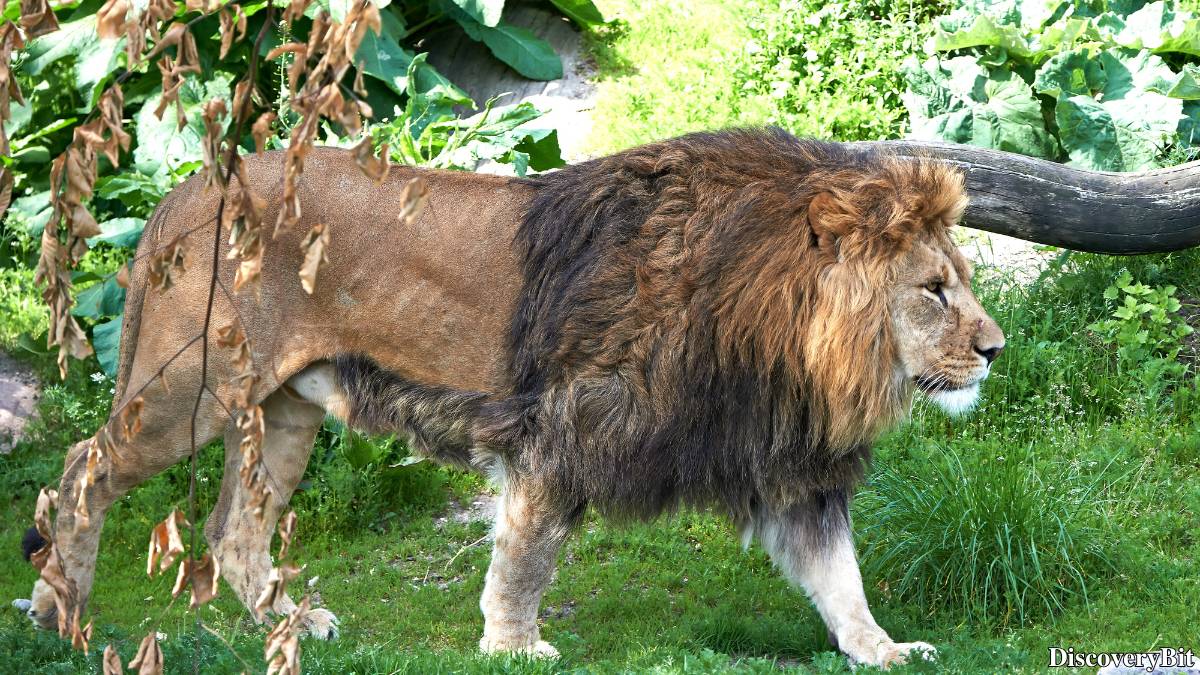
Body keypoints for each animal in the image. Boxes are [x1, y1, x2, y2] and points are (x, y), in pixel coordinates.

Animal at [23, 128, 1003, 668]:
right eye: (934, 291)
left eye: (959, 280)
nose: (995, 350)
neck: (780, 336)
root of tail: (184, 189)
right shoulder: (564, 428)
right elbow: (527, 552)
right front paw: (513, 646)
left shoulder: (783, 462)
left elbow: (841, 578)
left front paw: (884, 650)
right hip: (186, 389)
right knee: (82, 468)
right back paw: (59, 610)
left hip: (285, 408)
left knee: (232, 528)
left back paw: (296, 620)